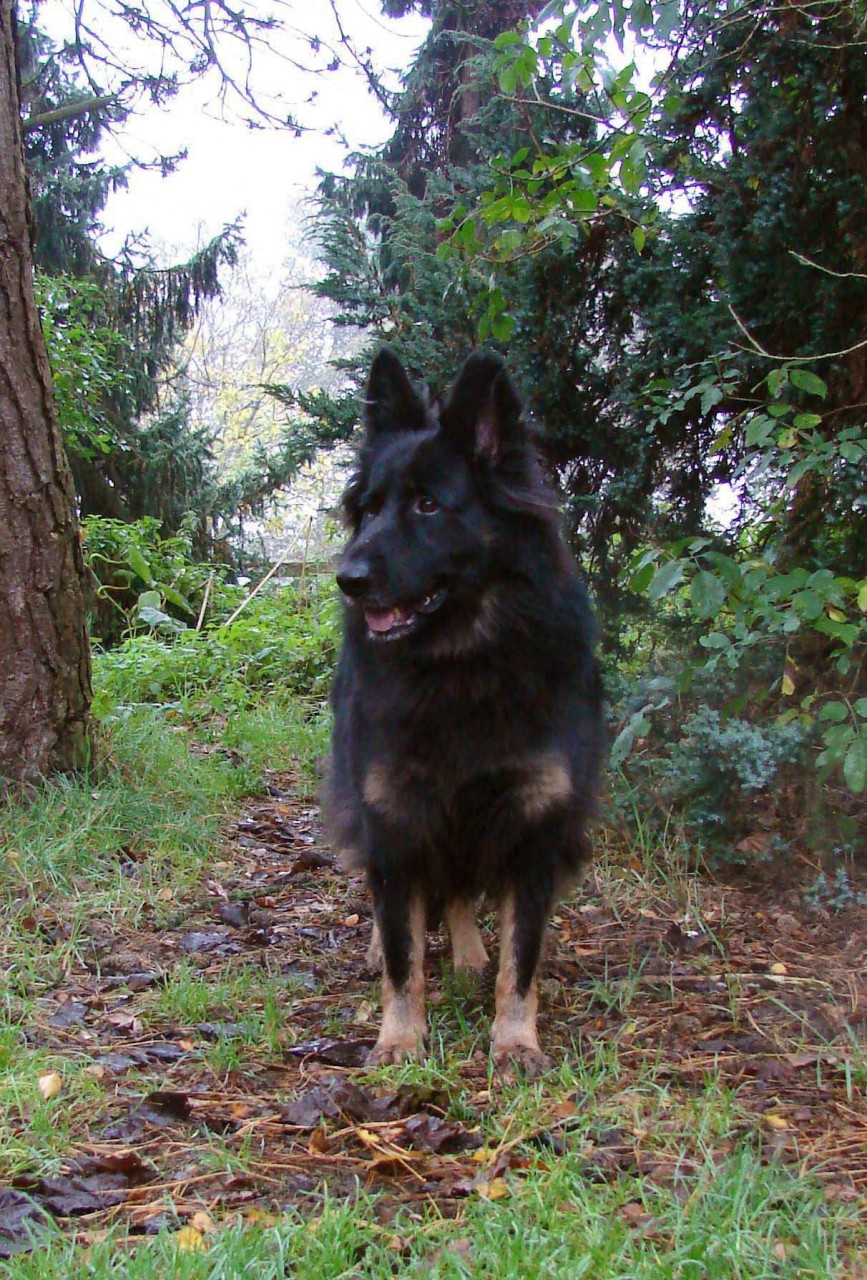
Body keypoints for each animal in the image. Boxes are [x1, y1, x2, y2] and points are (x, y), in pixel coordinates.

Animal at [324, 348, 604, 1075]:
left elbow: (522, 958)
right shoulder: (393, 813)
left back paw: (470, 951)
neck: (462, 664)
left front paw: (515, 1040)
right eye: (368, 510)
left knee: (453, 891)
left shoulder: (535, 828)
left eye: (428, 504)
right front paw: (399, 1038)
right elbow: (402, 952)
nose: (347, 579)